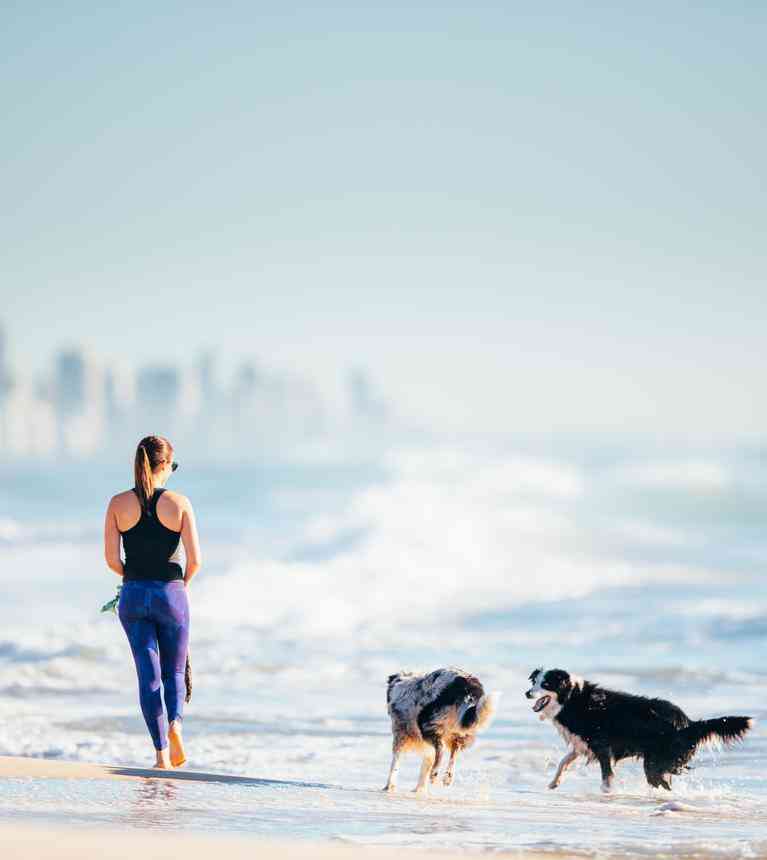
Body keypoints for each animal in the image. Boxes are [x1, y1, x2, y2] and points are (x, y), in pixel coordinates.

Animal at [384, 668, 498, 796]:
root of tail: (468, 686)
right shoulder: (426, 748)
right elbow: (425, 766)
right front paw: (419, 790)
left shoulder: (400, 736)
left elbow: (394, 765)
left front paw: (389, 787)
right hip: (461, 732)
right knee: (454, 753)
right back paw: (447, 778)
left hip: (428, 725)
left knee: (441, 749)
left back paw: (435, 774)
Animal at [524, 668, 752, 796]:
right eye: (534, 682)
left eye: (545, 684)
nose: (526, 693)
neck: (573, 698)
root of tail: (689, 723)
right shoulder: (582, 744)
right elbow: (563, 761)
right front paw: (553, 783)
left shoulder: (602, 747)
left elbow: (606, 776)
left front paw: (607, 793)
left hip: (654, 763)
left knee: (660, 782)